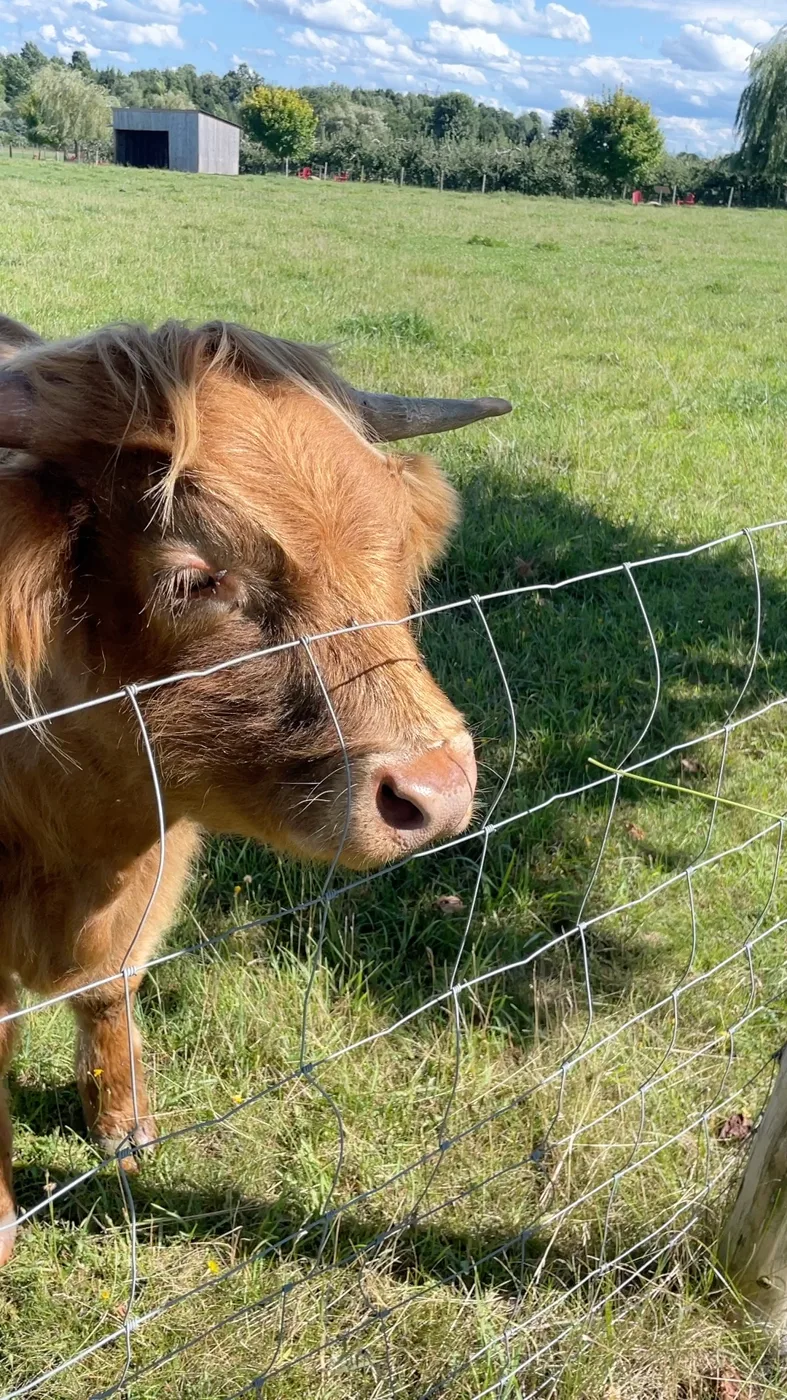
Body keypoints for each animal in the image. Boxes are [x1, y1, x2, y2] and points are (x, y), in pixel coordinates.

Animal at [0, 314, 511, 1264]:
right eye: (197, 577)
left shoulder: (156, 864)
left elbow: (112, 985)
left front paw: (123, 1126)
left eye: (388, 543)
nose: (436, 792)